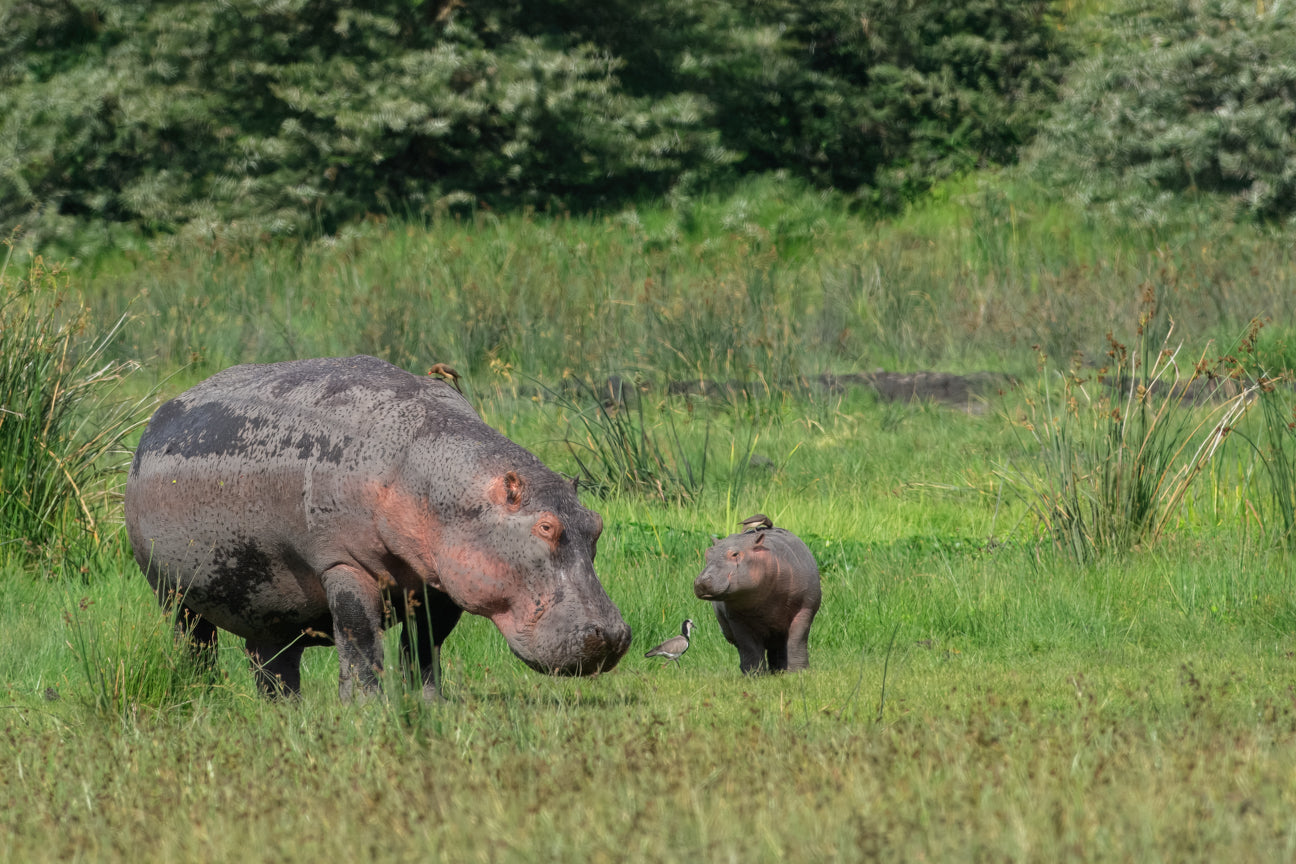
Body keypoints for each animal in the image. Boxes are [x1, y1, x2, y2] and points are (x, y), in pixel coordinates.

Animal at [123, 354, 629, 699]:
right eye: (545, 527)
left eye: (596, 523)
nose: (614, 636)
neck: (424, 472)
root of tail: (156, 420)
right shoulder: (344, 565)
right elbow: (360, 642)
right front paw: (364, 708)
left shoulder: (441, 582)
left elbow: (424, 648)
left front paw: (427, 704)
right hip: (174, 595)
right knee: (195, 646)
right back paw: (202, 695)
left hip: (271, 612)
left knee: (274, 668)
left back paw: (284, 713)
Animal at [689, 512, 819, 673]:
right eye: (707, 553)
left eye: (735, 554)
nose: (701, 581)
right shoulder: (736, 618)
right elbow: (749, 647)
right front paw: (754, 674)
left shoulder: (804, 609)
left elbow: (797, 640)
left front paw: (798, 671)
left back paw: (779, 671)